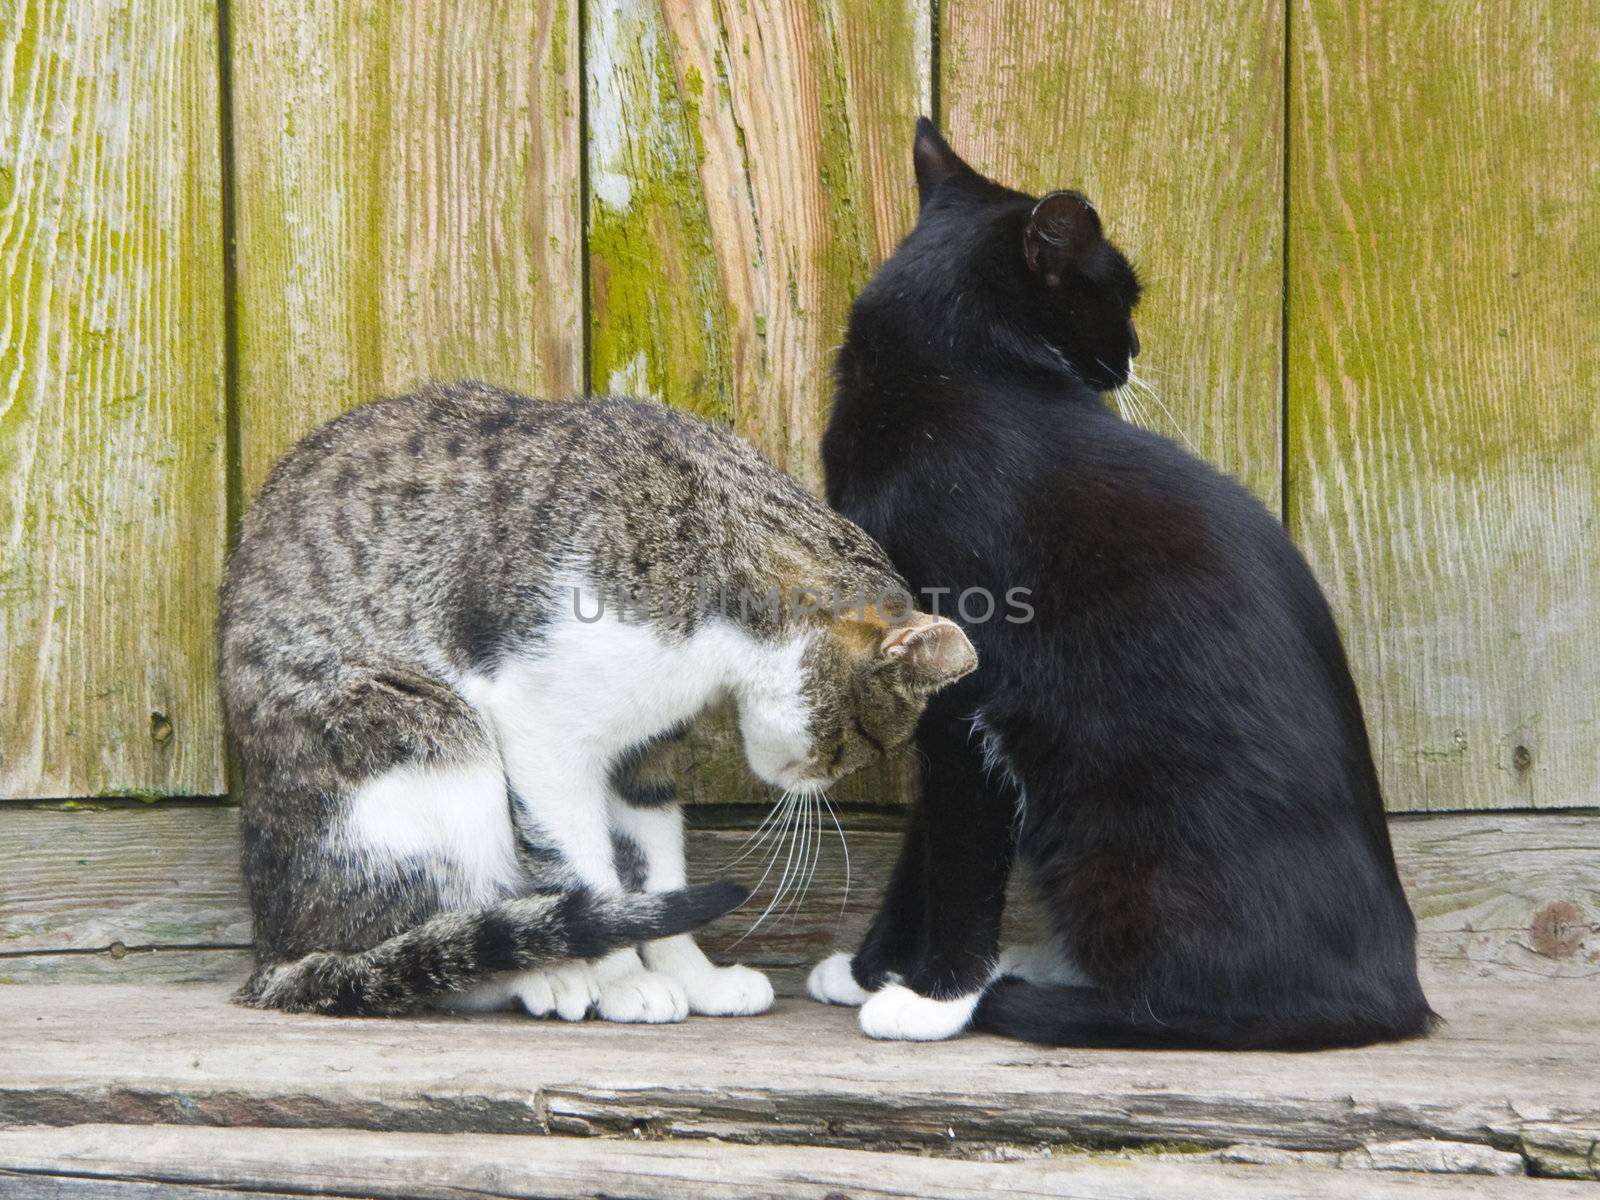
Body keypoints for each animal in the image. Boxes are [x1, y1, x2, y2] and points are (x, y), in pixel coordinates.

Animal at [812, 117, 1440, 1049]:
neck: (951, 376)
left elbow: (962, 847)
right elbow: (927, 845)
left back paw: (1027, 994)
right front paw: (872, 971)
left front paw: (934, 998)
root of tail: (1396, 989)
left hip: (1110, 832)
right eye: (1121, 297)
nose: (1135, 352)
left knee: (1209, 1005)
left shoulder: (967, 687)